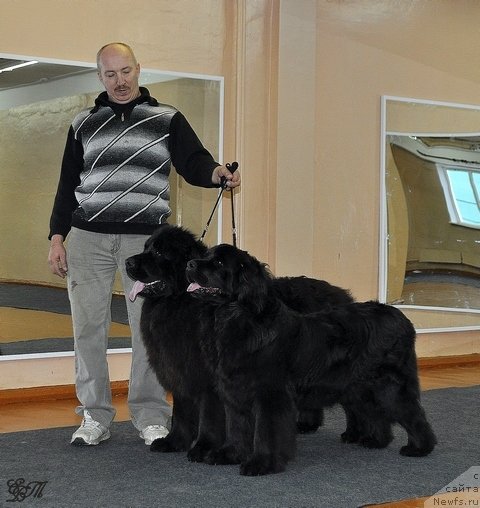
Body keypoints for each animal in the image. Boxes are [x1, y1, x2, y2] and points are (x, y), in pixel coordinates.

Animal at [186, 245, 436, 476]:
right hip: (360, 386)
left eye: (219, 263)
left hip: (389, 385)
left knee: (413, 414)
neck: (232, 317)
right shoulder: (235, 392)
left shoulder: (270, 395)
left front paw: (262, 464)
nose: (189, 263)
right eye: (206, 255)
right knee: (375, 413)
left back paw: (420, 448)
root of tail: (401, 317)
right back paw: (376, 441)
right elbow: (237, 427)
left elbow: (266, 433)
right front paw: (230, 455)